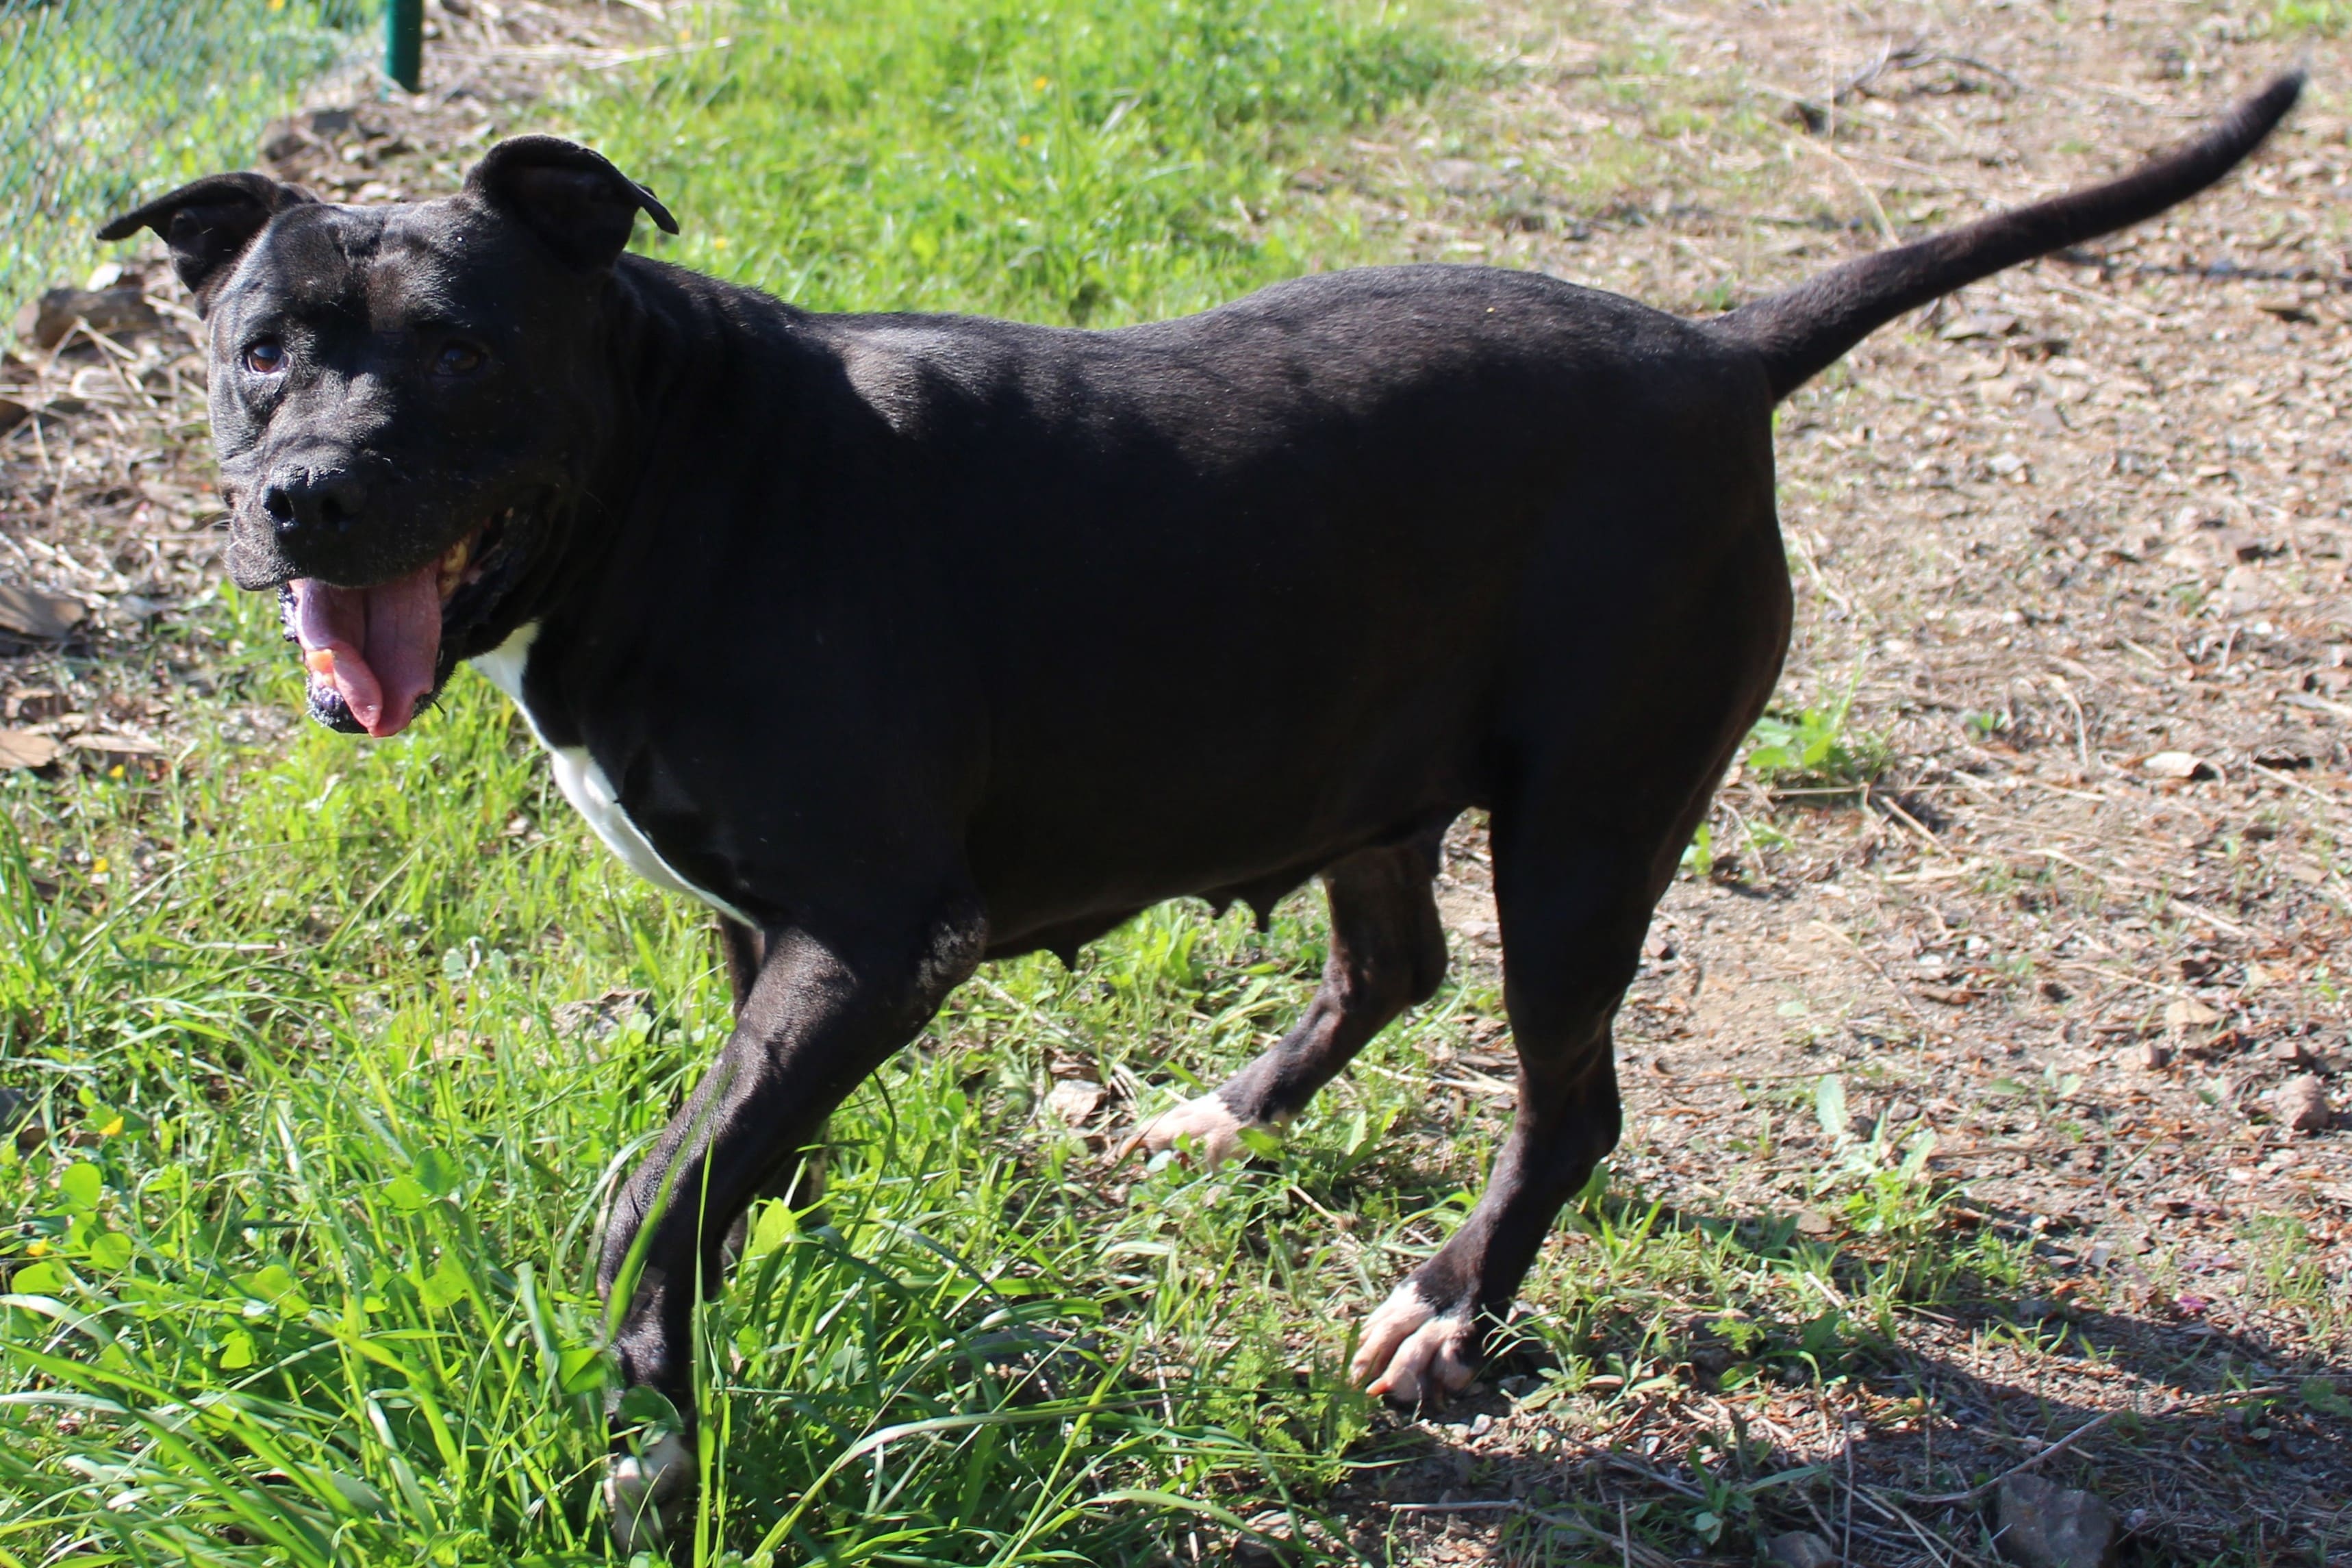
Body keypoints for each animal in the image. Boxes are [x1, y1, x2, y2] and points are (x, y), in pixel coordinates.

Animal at [105, 70, 2295, 1542]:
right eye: (256, 352)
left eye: (464, 349)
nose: (303, 496)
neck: (670, 471)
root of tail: (1712, 350)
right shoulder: (766, 934)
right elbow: (722, 1146)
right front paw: (762, 1248)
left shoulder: (878, 934)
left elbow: (663, 1188)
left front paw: (651, 1434)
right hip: (1366, 783)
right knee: (1389, 970)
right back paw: (1219, 1122)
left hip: (1589, 828)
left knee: (1567, 1098)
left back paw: (1442, 1310)